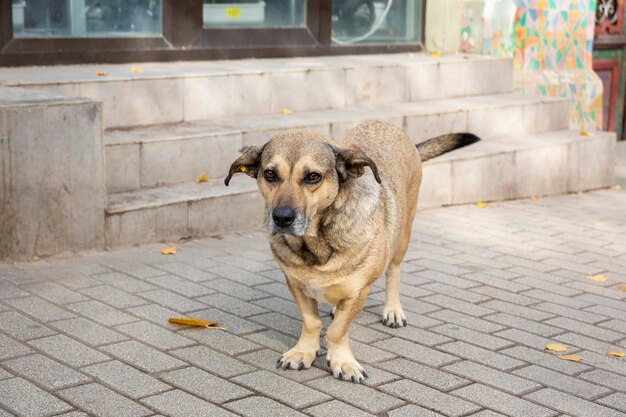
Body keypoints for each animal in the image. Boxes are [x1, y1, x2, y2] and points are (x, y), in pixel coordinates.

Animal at [224, 118, 478, 382]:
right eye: (270, 174)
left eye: (313, 176)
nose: (282, 218)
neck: (317, 243)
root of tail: (384, 124)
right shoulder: (296, 285)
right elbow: (312, 323)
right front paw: (303, 352)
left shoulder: (359, 291)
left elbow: (337, 330)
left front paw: (342, 362)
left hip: (403, 234)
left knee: (394, 271)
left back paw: (393, 310)